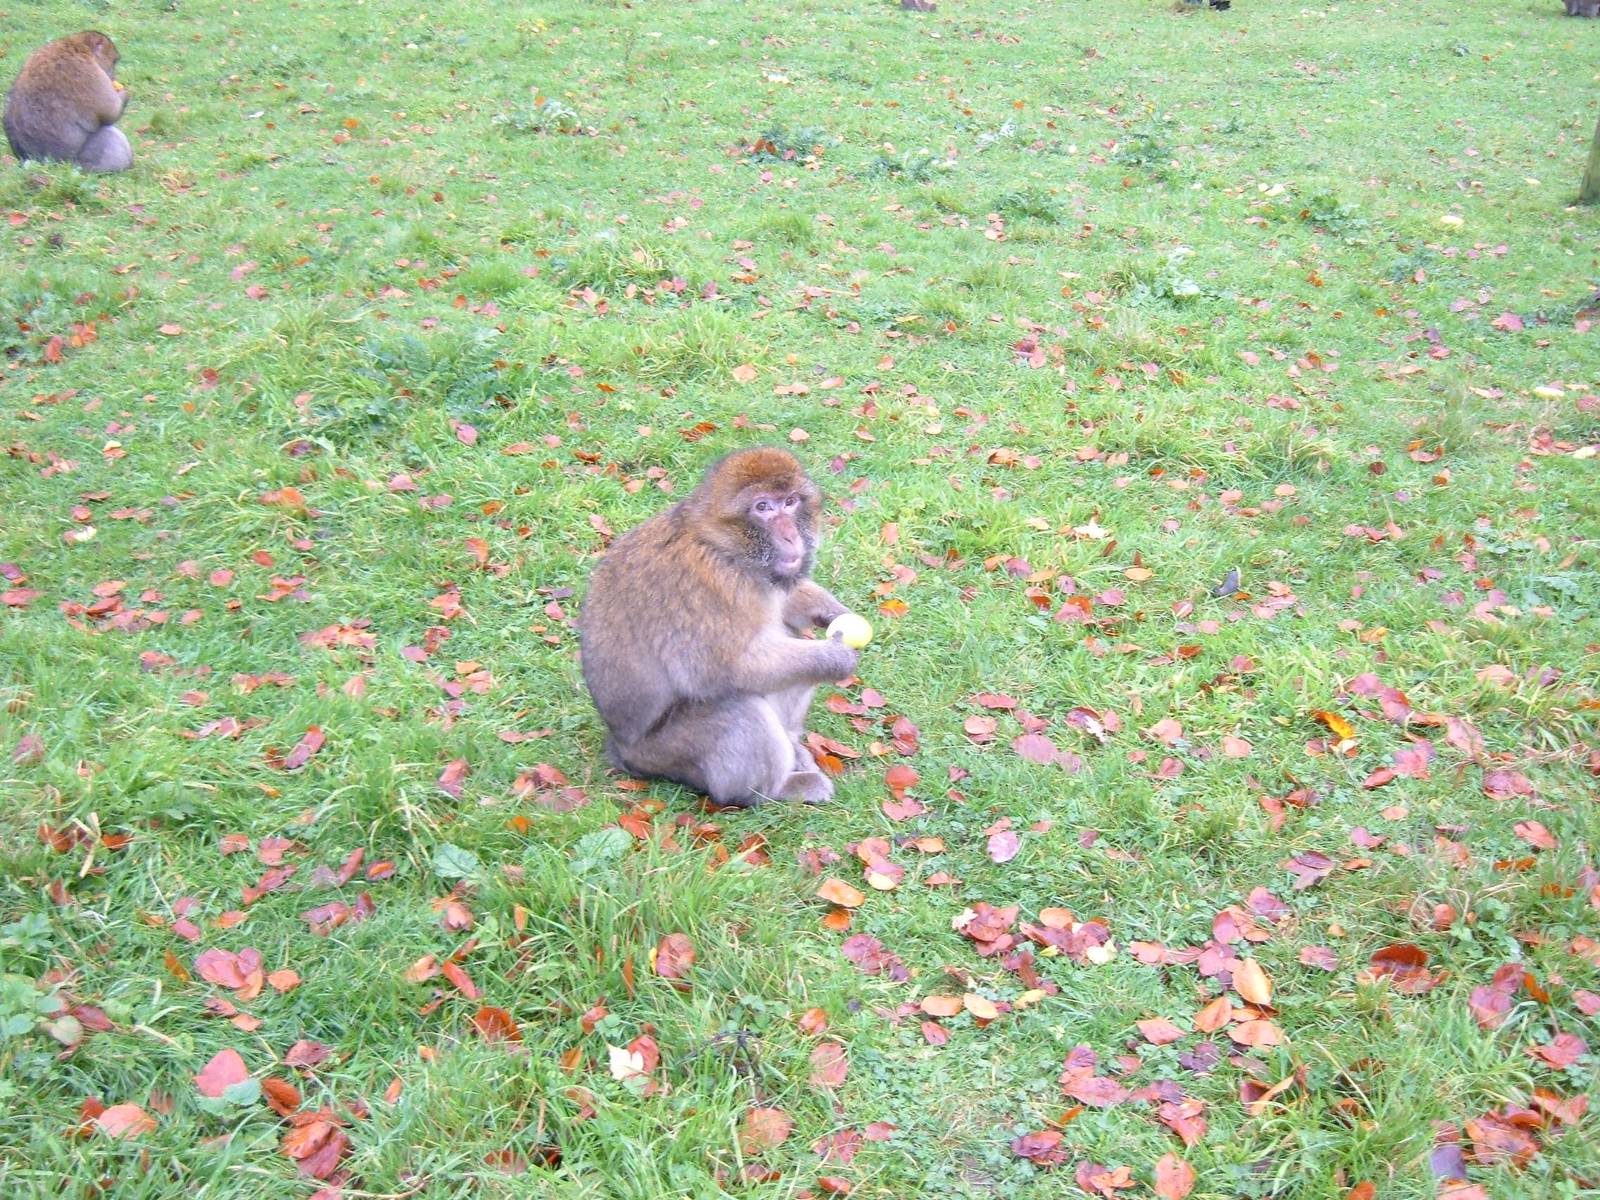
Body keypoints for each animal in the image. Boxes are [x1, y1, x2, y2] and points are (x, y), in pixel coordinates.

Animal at [4, 32, 133, 173]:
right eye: (114, 62)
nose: (113, 77)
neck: (78, 47)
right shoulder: (88, 72)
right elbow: (111, 112)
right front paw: (124, 93)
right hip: (79, 162)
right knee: (112, 136)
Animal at [579, 447, 858, 808]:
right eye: (763, 508)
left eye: (790, 502)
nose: (790, 535)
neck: (725, 548)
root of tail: (622, 747)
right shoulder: (711, 588)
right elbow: (721, 670)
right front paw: (835, 658)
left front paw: (826, 609)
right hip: (665, 753)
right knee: (739, 708)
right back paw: (773, 790)